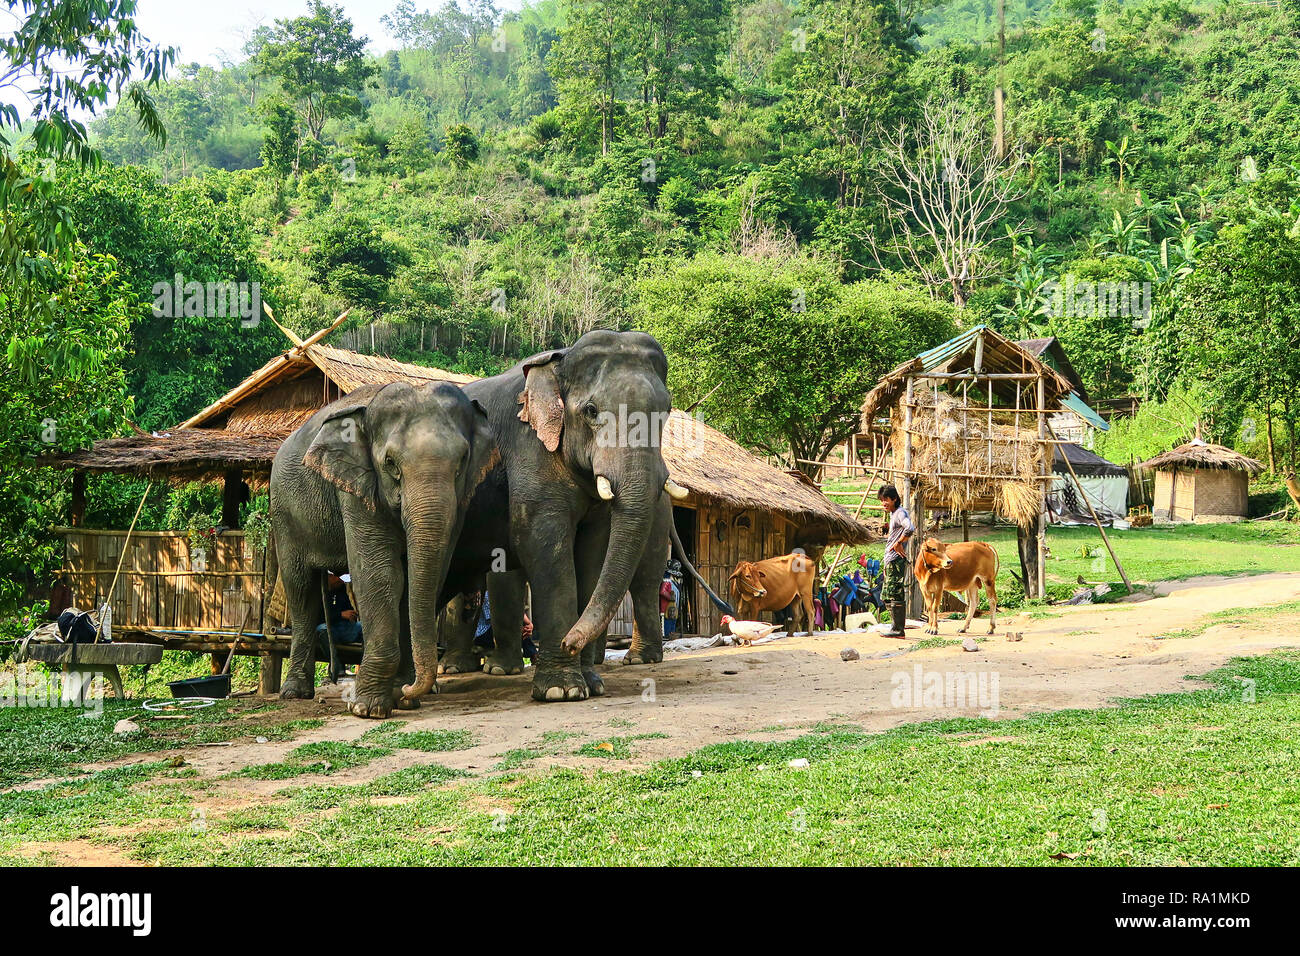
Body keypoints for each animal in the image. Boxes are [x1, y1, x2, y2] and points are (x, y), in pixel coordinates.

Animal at [271, 382, 493, 717]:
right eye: (390, 464)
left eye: (463, 460)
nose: (409, 690)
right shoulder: (356, 487)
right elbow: (381, 575)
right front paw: (369, 708)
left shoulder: (461, 502)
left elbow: (420, 579)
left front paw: (402, 697)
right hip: (284, 514)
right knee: (301, 589)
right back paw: (295, 692)